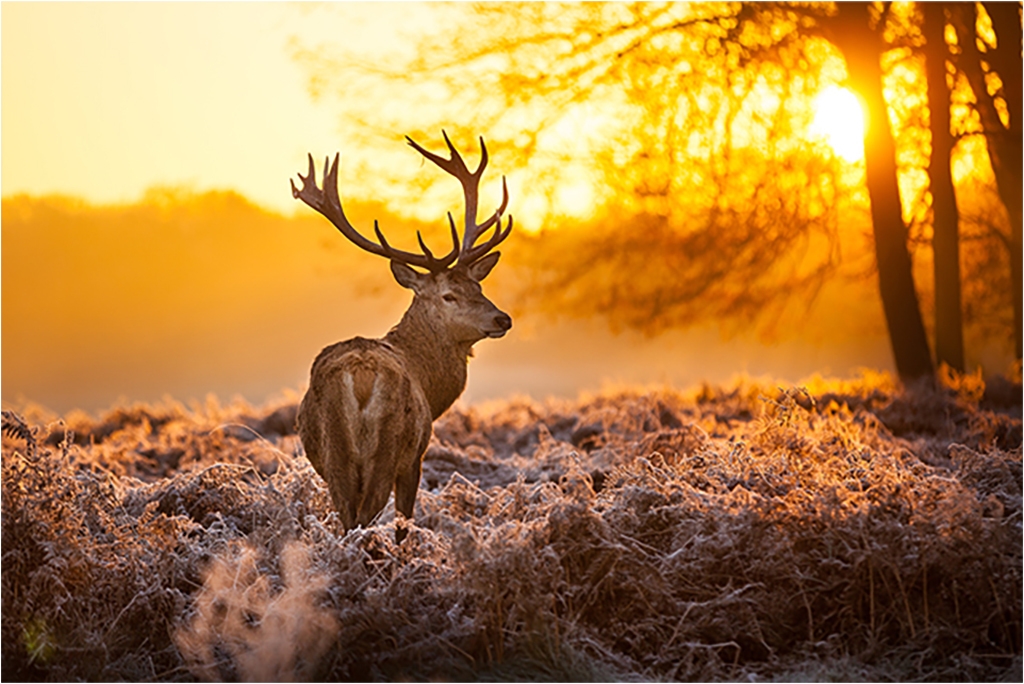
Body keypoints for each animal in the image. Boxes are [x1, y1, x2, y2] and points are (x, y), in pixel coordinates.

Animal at [288, 132, 512, 540]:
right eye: (449, 295)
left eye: (478, 286)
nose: (502, 318)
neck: (430, 384)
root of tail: (360, 375)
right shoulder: (416, 456)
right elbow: (405, 520)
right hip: (389, 446)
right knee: (367, 515)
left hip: (334, 453)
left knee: (348, 518)